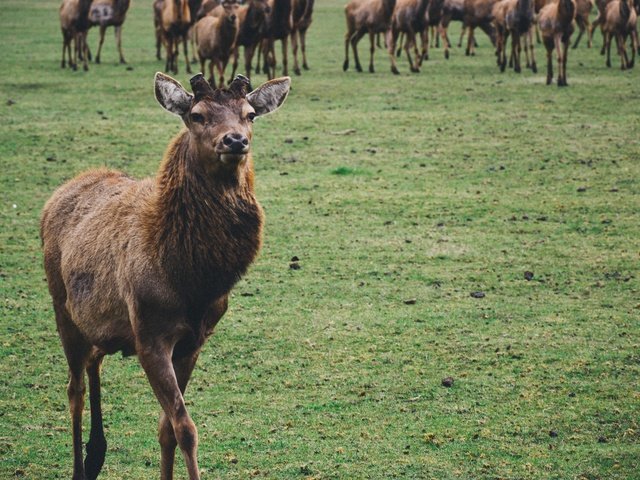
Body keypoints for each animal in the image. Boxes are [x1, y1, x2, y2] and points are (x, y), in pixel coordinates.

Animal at [40, 71, 290, 480]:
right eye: (197, 115)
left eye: (250, 114)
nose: (235, 140)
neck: (190, 280)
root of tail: (57, 195)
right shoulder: (149, 335)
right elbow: (185, 427)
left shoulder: (194, 340)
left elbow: (167, 428)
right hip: (61, 305)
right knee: (74, 388)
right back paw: (79, 465)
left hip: (99, 320)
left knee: (94, 360)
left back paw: (96, 454)